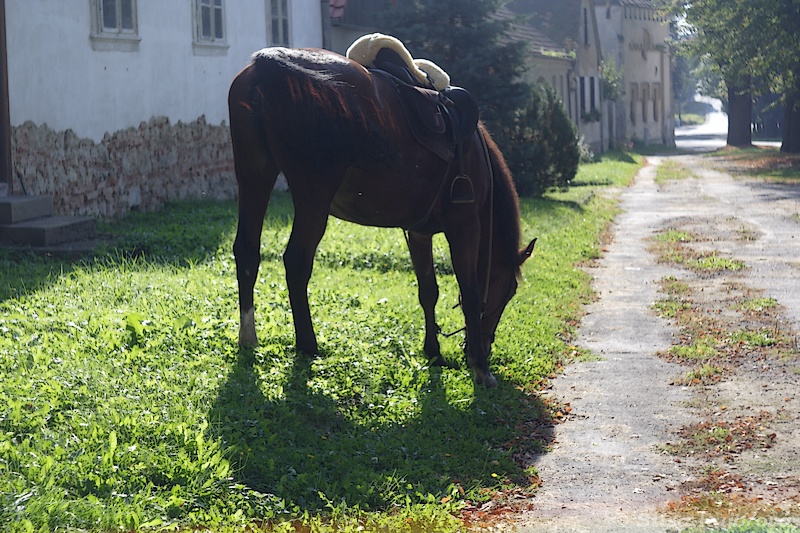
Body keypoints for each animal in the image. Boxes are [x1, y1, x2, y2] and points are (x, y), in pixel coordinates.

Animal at [228, 46, 536, 386]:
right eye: (509, 292)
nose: (484, 345)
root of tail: (267, 68)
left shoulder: (419, 232)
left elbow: (428, 290)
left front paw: (433, 352)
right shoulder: (465, 224)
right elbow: (469, 290)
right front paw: (480, 367)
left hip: (255, 178)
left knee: (247, 252)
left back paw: (248, 337)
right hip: (313, 195)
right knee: (296, 261)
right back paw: (308, 344)